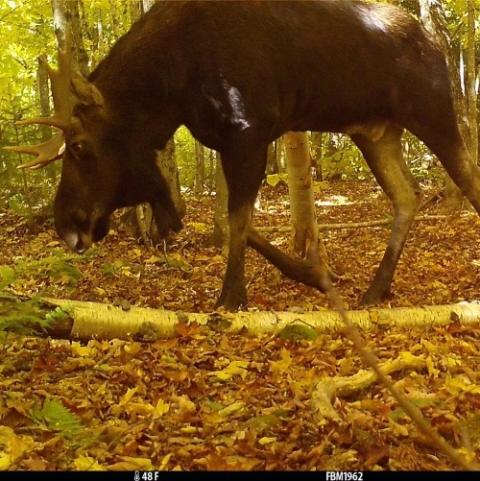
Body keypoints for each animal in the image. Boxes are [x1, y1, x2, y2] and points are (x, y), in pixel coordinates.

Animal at [6, 0, 480, 310]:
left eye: (80, 146)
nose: (65, 222)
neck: (172, 90)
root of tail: (437, 44)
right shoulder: (225, 141)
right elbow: (226, 219)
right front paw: (316, 274)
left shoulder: (250, 129)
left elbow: (236, 219)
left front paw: (231, 296)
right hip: (375, 131)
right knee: (408, 194)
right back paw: (376, 289)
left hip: (432, 110)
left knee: (467, 177)